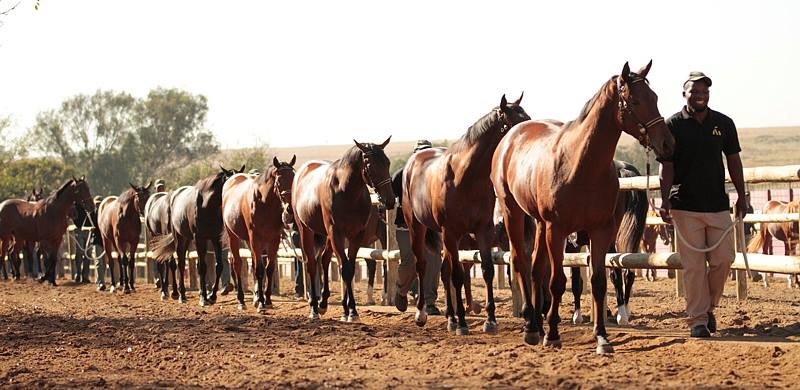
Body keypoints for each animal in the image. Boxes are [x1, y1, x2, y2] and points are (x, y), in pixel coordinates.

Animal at [151, 165, 244, 304]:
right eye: (230, 182)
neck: (207, 205)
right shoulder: (200, 238)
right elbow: (202, 267)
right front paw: (203, 298)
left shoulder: (216, 238)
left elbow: (218, 266)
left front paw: (212, 296)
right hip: (179, 238)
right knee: (180, 263)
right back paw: (181, 295)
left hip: (188, 239)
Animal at [222, 155, 296, 310]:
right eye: (279, 180)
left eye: (294, 177)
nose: (290, 209)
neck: (265, 204)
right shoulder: (256, 239)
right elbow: (259, 269)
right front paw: (261, 302)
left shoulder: (273, 240)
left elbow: (269, 268)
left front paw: (267, 299)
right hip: (233, 236)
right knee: (237, 264)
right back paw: (241, 300)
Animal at [292, 139, 396, 322]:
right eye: (370, 165)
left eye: (387, 162)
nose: (389, 200)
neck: (347, 193)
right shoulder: (337, 233)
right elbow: (345, 268)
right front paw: (352, 311)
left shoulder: (356, 235)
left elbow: (349, 268)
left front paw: (348, 310)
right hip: (306, 230)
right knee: (311, 263)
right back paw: (314, 308)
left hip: (327, 236)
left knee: (324, 259)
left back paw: (324, 303)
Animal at [404, 94, 528, 336]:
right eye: (514, 123)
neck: (466, 177)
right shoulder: (451, 232)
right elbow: (458, 276)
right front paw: (462, 323)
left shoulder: (482, 231)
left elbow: (487, 270)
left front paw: (490, 321)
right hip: (419, 227)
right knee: (423, 265)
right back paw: (423, 314)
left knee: (444, 270)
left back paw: (450, 318)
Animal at [494, 61, 676, 354]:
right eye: (635, 101)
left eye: (655, 98)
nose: (667, 143)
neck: (580, 164)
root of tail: (512, 137)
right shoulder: (558, 231)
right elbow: (559, 282)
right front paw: (553, 334)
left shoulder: (599, 230)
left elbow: (598, 282)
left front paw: (602, 337)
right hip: (515, 214)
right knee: (521, 261)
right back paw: (532, 326)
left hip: (541, 225)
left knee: (536, 268)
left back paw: (538, 325)